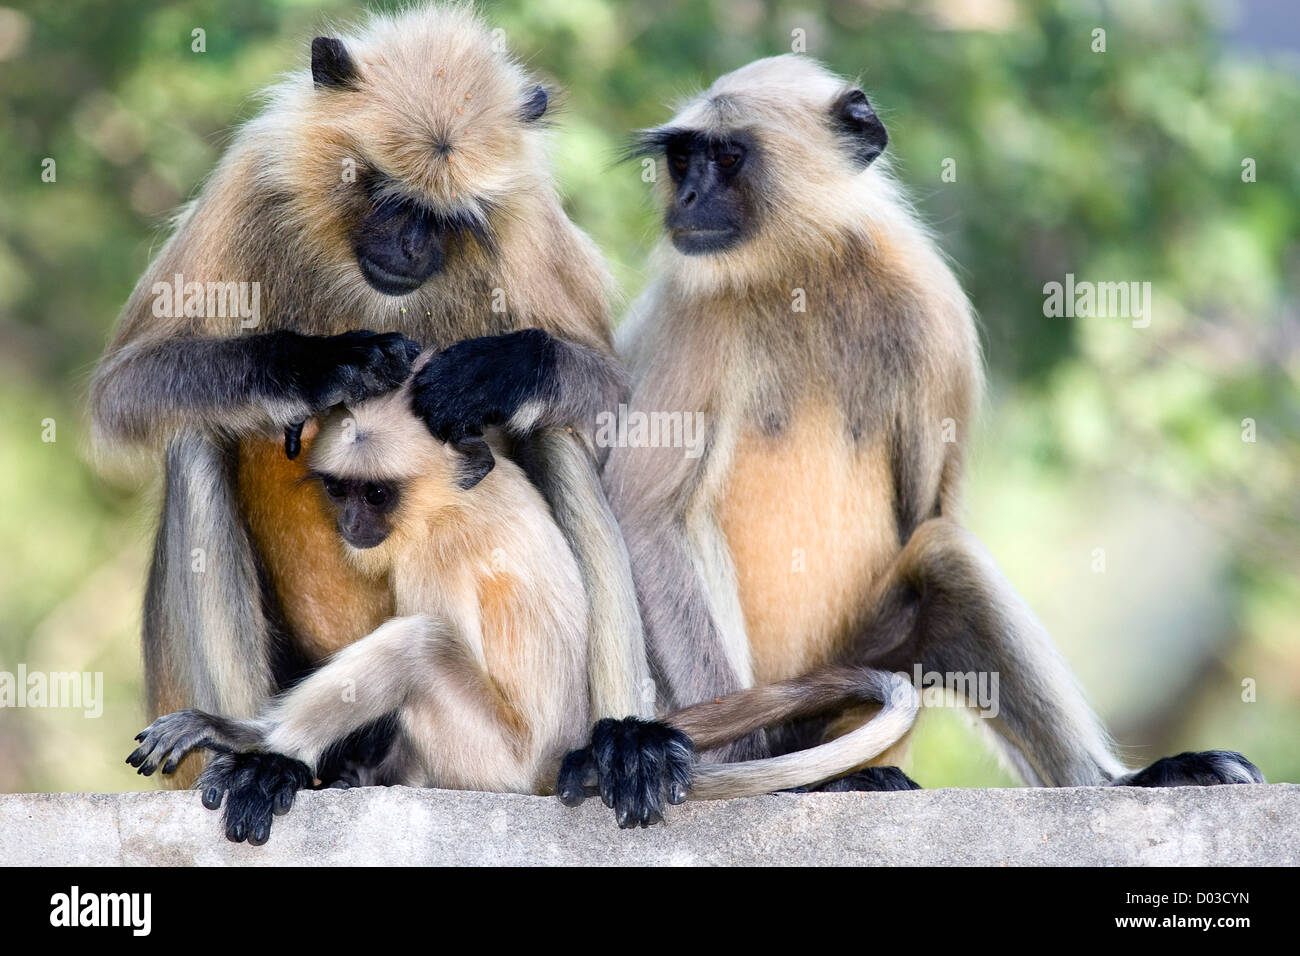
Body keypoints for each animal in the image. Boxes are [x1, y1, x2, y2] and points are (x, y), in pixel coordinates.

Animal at [129, 351, 915, 837]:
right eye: (341, 492)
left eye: (375, 496)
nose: (352, 524)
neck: (454, 498)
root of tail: (545, 766)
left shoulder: (433, 553)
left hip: (493, 761)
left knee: (419, 646)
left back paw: (258, 747)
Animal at [556, 55, 1258, 827]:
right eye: (683, 159)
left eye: (727, 157)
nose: (685, 197)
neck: (806, 270)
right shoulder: (697, 313)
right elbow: (651, 517)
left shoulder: (934, 308)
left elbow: (929, 514)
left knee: (945, 558)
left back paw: (1118, 781)